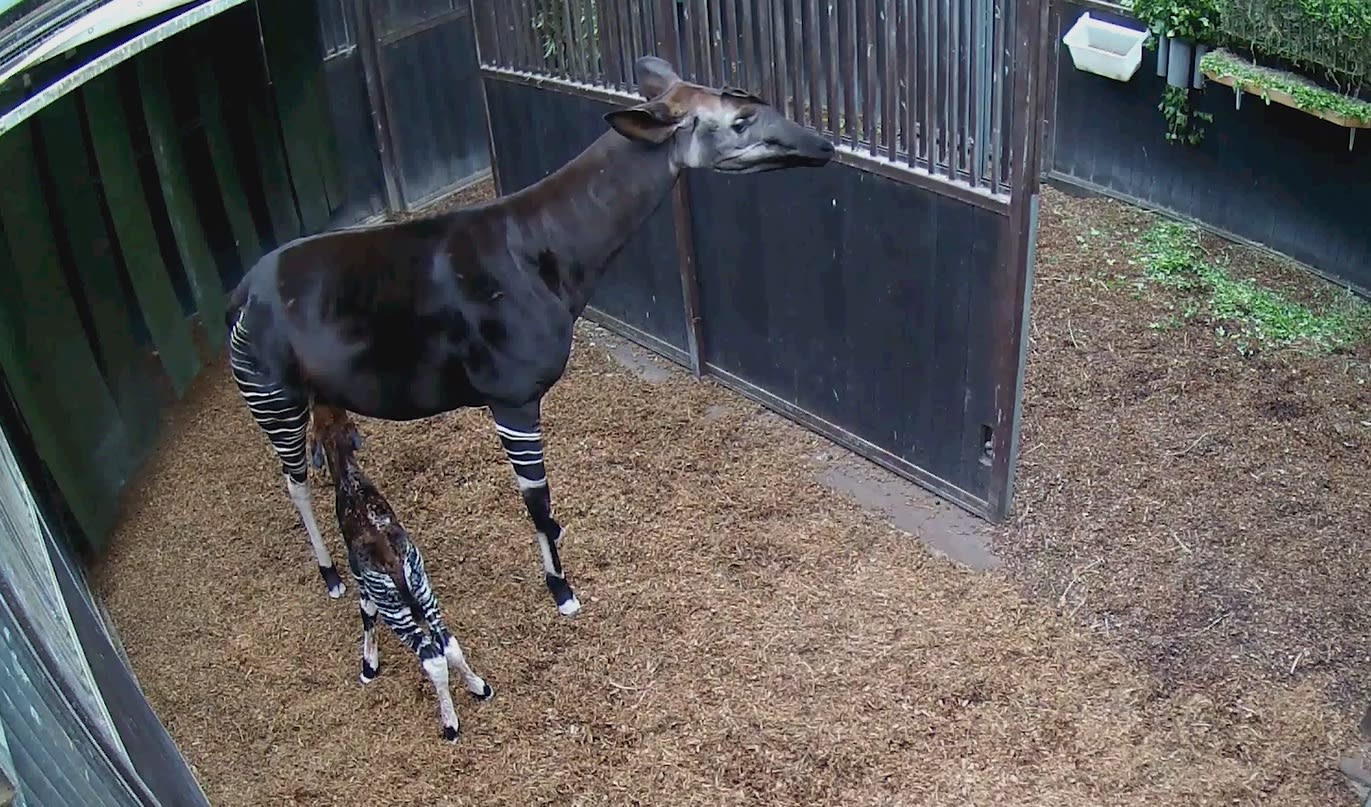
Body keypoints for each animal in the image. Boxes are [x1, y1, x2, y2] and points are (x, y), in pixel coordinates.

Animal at [311, 405, 493, 739]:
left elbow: (366, 616)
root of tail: (394, 563)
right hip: (424, 591)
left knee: (432, 658)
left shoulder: (365, 584)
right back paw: (479, 686)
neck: (349, 479)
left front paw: (368, 667)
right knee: (449, 644)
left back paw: (450, 725)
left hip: (396, 610)